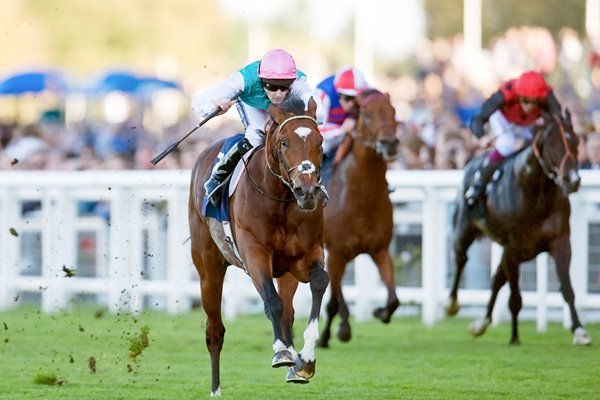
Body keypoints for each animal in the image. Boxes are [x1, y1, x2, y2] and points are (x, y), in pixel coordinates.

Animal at [188, 94, 328, 396]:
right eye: (284, 142)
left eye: (320, 143)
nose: (307, 191)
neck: (280, 200)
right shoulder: (255, 255)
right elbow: (272, 302)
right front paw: (282, 353)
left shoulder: (305, 256)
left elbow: (319, 282)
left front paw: (306, 360)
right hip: (208, 268)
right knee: (214, 330)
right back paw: (216, 390)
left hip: (286, 271)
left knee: (288, 312)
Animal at [318, 90, 398, 346]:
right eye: (367, 115)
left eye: (393, 112)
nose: (390, 144)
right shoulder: (336, 252)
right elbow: (332, 301)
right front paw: (330, 334)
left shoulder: (380, 249)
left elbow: (394, 299)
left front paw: (380, 312)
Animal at [446, 108, 592, 346]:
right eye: (552, 144)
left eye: (576, 141)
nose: (573, 180)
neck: (535, 192)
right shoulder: (513, 246)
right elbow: (514, 296)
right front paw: (514, 336)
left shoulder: (559, 241)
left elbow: (567, 288)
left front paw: (580, 331)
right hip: (465, 230)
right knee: (461, 259)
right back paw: (452, 304)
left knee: (496, 279)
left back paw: (481, 323)